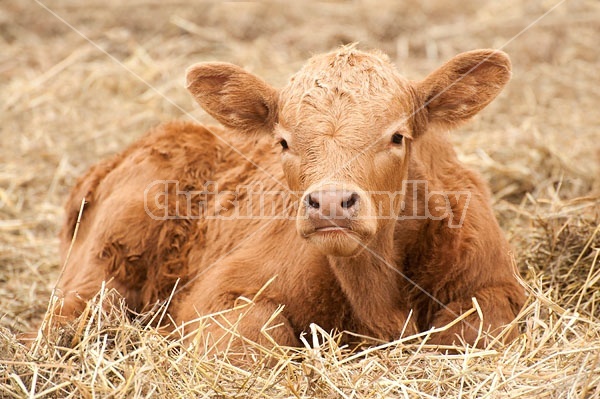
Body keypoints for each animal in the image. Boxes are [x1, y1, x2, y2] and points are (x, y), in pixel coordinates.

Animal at [51, 46, 524, 354]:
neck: (376, 296)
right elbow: (258, 332)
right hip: (100, 271)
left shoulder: (498, 286)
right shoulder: (213, 294)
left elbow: (471, 327)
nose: (331, 203)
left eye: (397, 136)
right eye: (283, 142)